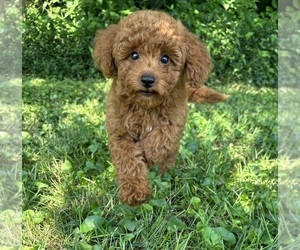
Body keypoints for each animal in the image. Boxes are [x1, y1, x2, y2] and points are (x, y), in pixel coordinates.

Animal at [92, 9, 229, 205]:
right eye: (134, 55)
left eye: (165, 59)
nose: (148, 80)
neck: (146, 107)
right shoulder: (119, 130)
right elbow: (128, 160)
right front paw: (135, 193)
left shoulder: (176, 117)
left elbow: (163, 136)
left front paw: (149, 154)